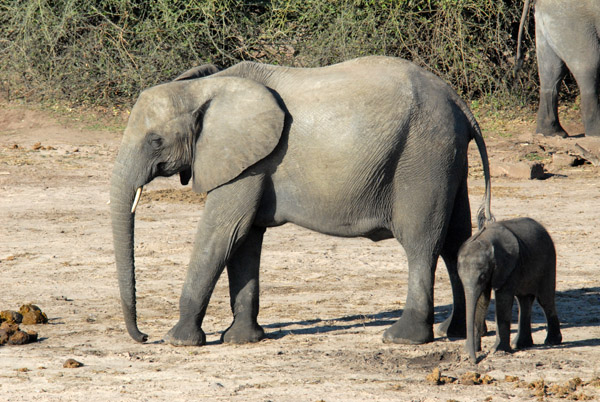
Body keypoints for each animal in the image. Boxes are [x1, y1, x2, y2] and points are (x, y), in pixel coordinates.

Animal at [111, 55, 492, 348]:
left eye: (155, 141)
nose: (143, 337)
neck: (206, 86)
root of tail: (457, 101)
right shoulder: (250, 162)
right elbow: (244, 239)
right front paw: (242, 339)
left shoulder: (249, 162)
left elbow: (222, 233)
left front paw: (179, 340)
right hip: (447, 159)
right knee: (456, 240)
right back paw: (456, 332)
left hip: (423, 155)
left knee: (421, 242)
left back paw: (403, 338)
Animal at [458, 218, 560, 360]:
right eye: (460, 277)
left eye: (483, 276)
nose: (475, 361)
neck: (485, 239)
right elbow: (482, 301)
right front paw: (471, 350)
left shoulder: (509, 266)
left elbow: (503, 298)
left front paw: (497, 350)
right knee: (524, 301)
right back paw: (520, 344)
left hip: (548, 263)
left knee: (545, 300)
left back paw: (551, 341)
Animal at [516, 0, 600, 137]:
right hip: (573, 22)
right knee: (590, 65)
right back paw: (595, 132)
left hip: (550, 23)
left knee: (551, 72)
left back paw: (551, 133)